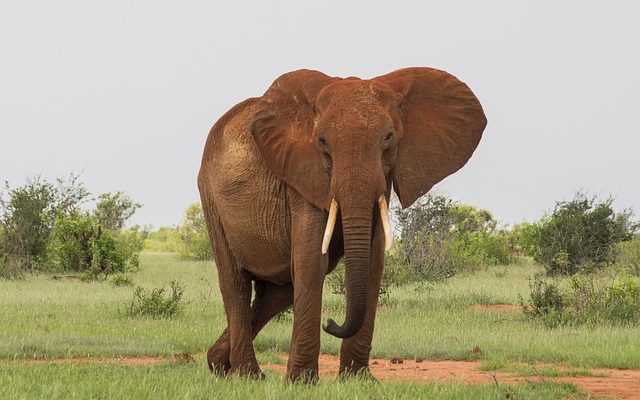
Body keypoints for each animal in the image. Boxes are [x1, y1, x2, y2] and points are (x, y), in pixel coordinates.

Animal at [196, 67, 484, 382]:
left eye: (389, 137)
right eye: (322, 141)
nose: (331, 322)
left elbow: (371, 262)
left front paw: (359, 380)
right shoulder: (302, 176)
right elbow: (312, 261)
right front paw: (302, 382)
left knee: (277, 292)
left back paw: (219, 364)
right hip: (211, 199)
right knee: (235, 282)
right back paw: (247, 375)